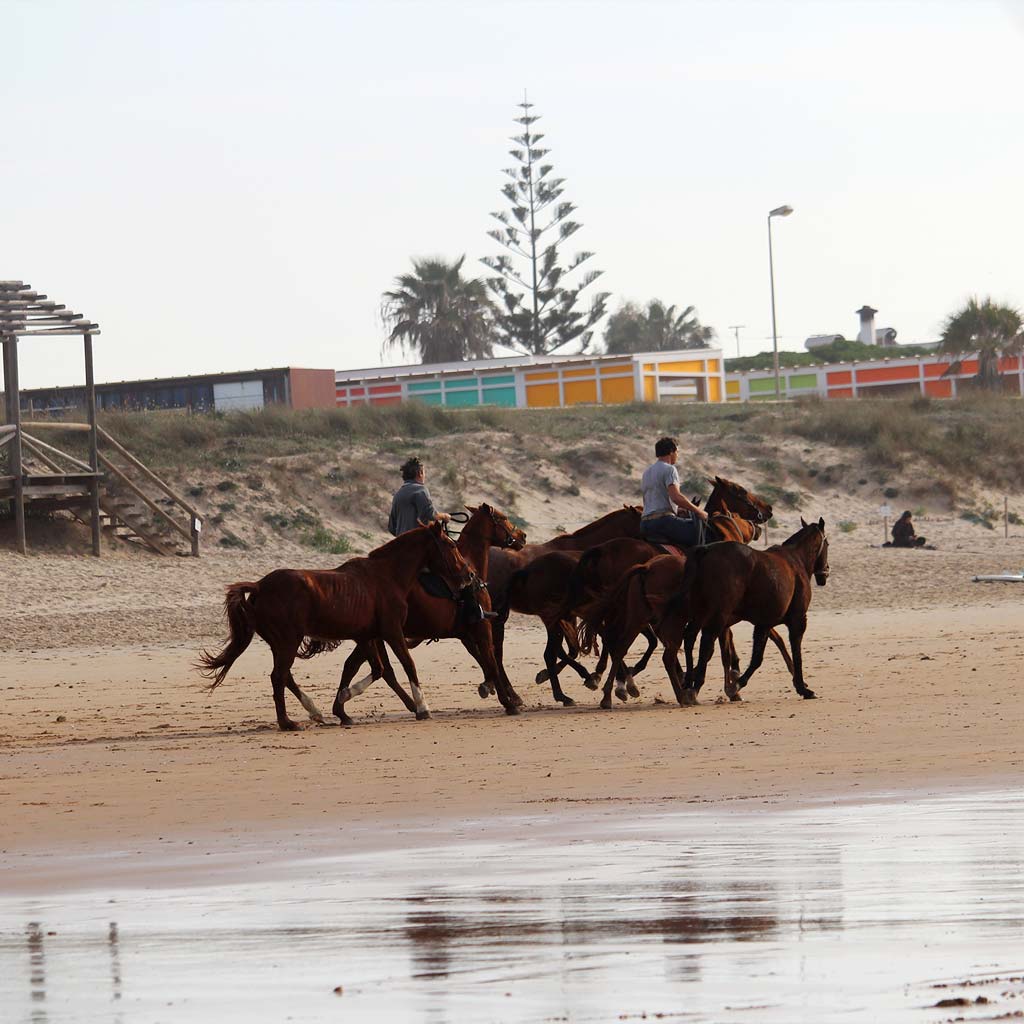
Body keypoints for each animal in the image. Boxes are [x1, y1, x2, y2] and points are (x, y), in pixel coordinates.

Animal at [199, 524, 475, 733]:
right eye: (451, 545)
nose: (470, 574)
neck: (386, 577)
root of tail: (259, 586)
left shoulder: (367, 637)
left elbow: (374, 669)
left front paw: (343, 704)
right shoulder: (392, 632)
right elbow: (407, 665)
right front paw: (422, 707)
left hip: (280, 643)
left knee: (285, 676)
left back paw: (314, 712)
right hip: (288, 640)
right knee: (278, 677)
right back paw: (288, 723)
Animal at [325, 503, 528, 720]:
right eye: (503, 517)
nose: (523, 536)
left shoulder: (464, 633)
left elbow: (485, 661)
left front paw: (495, 690)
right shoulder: (481, 626)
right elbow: (491, 661)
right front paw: (508, 700)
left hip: (373, 636)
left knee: (357, 666)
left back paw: (343, 708)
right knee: (378, 669)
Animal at [679, 520, 831, 704]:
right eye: (827, 544)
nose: (826, 571)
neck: (796, 560)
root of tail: (706, 550)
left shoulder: (763, 624)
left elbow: (759, 656)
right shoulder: (797, 621)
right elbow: (794, 654)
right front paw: (803, 688)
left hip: (700, 612)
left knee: (690, 638)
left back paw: (688, 682)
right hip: (718, 615)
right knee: (707, 642)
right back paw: (696, 685)